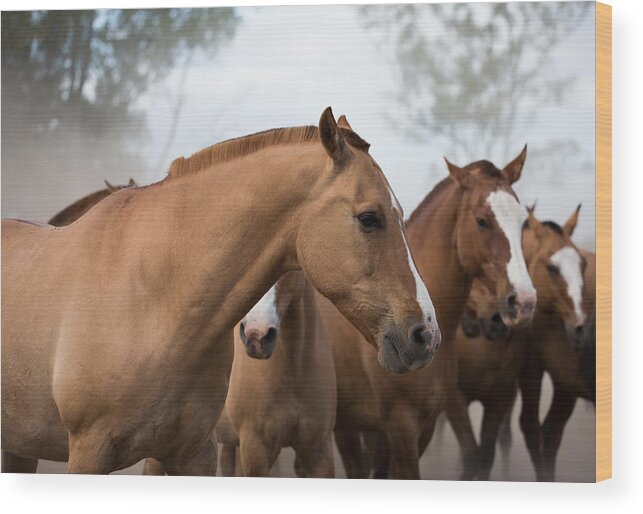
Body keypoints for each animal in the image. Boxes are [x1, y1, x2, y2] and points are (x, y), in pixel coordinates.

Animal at [448, 206, 588, 478]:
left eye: (583, 265)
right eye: (551, 268)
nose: (496, 320)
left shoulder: (500, 396)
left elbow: (485, 453)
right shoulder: (454, 398)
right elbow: (470, 453)